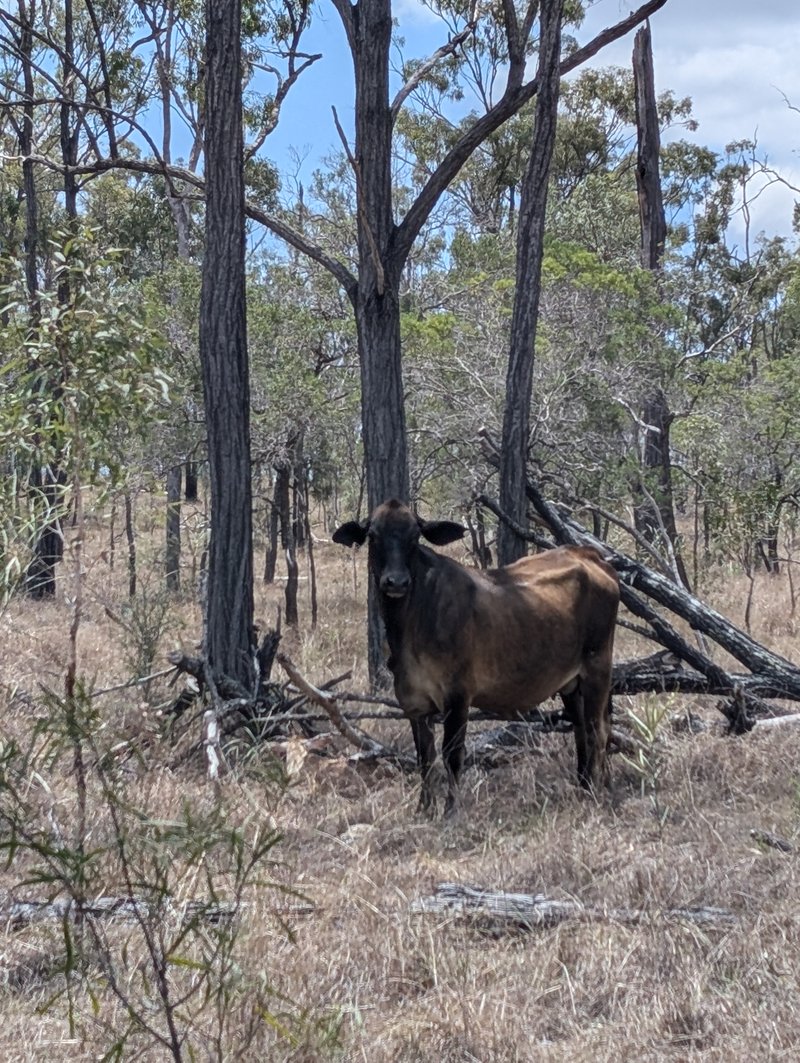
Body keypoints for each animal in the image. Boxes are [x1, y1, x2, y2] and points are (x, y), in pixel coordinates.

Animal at [331, 497, 616, 812]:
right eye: (373, 535)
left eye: (414, 536)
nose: (396, 582)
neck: (411, 622)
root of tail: (588, 554)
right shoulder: (414, 702)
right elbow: (425, 758)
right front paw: (424, 809)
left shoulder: (458, 696)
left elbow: (452, 755)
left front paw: (451, 812)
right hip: (570, 683)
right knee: (581, 729)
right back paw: (584, 785)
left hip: (598, 667)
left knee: (598, 730)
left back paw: (598, 793)